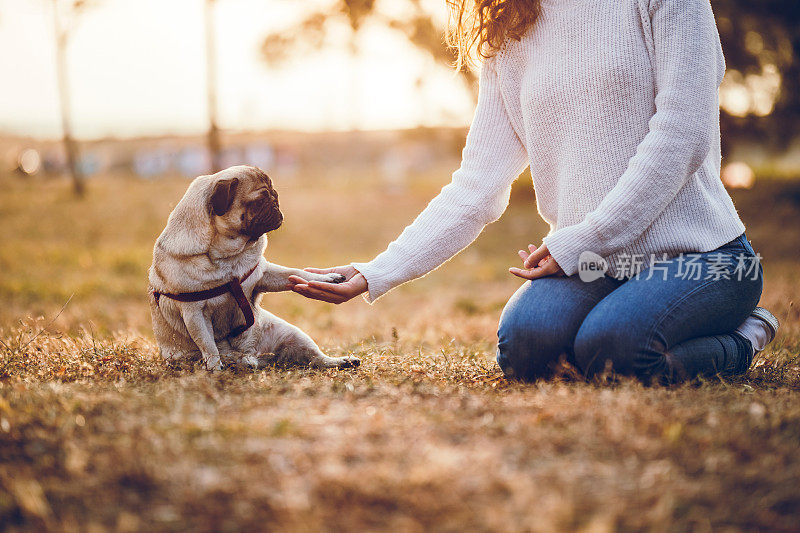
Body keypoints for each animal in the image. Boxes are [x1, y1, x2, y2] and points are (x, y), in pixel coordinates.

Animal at [148, 165, 360, 370]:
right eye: (259, 201)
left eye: (274, 194)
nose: (275, 204)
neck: (227, 256)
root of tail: (256, 355)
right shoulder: (194, 313)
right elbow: (209, 346)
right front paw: (215, 368)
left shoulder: (262, 274)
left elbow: (296, 273)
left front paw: (327, 278)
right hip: (187, 357)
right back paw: (236, 361)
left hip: (293, 333)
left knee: (316, 359)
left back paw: (342, 361)